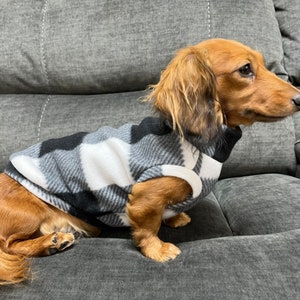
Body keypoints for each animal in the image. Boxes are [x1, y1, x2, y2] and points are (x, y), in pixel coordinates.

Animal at [0, 38, 300, 284]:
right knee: (8, 245)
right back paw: (51, 242)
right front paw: (159, 250)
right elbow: (148, 228)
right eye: (246, 69)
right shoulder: (145, 197)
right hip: (29, 214)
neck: (194, 141)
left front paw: (176, 217)